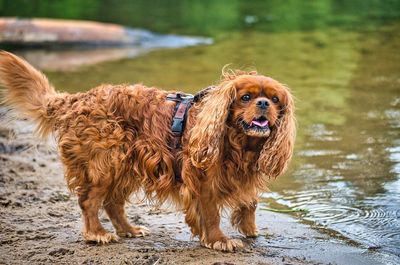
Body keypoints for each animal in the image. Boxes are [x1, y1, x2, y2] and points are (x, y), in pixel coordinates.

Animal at [0, 50, 294, 251]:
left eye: (275, 99)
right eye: (246, 97)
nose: (264, 103)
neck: (240, 143)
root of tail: (75, 99)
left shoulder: (243, 173)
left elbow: (250, 201)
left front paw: (250, 229)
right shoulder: (203, 179)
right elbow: (210, 213)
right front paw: (219, 240)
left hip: (124, 165)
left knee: (112, 202)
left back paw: (128, 230)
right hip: (104, 164)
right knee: (90, 201)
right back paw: (97, 234)